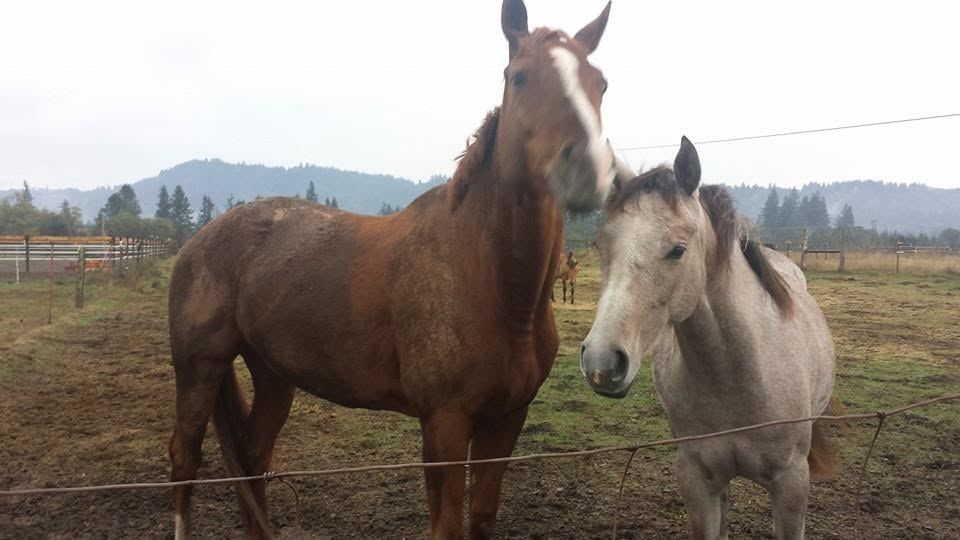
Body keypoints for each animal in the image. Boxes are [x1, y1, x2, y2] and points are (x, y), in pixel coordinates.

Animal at [167, 1, 622, 538]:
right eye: (520, 77)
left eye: (600, 83)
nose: (588, 169)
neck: (493, 284)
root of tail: (200, 240)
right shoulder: (444, 424)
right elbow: (447, 526)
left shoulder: (508, 419)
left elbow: (481, 519)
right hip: (199, 368)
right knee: (184, 461)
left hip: (274, 373)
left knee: (253, 457)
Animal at [580, 138, 837, 539]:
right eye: (600, 245)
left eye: (678, 249)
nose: (601, 363)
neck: (739, 376)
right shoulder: (697, 480)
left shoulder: (792, 484)